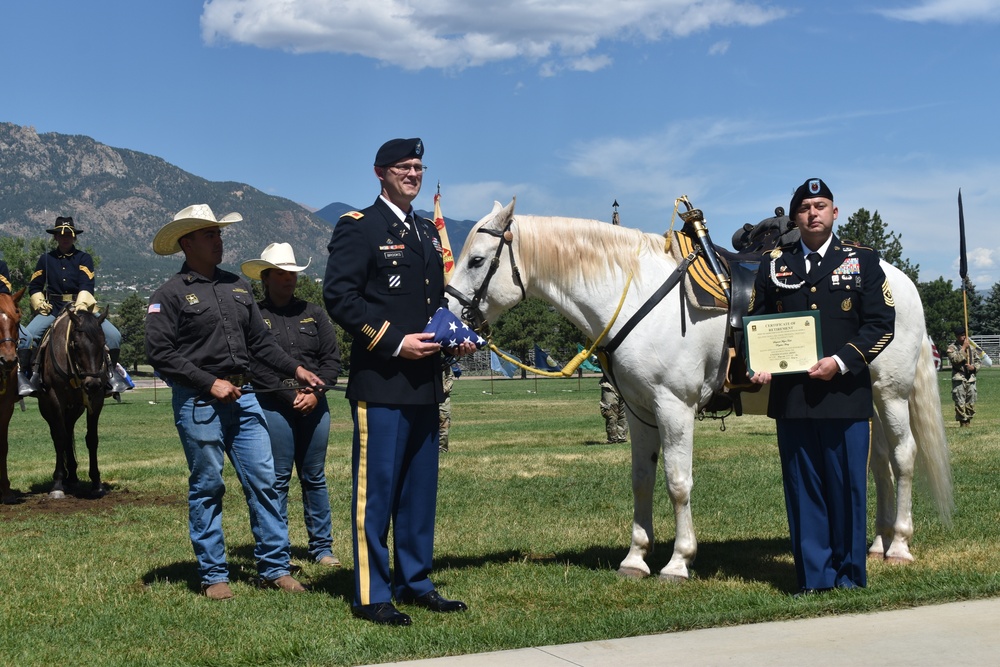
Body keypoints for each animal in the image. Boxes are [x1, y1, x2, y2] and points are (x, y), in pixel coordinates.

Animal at [36, 306, 109, 498]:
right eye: (76, 345)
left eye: (103, 343)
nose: (92, 384)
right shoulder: (55, 399)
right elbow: (59, 438)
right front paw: (58, 484)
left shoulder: (96, 400)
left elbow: (92, 439)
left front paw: (96, 482)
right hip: (47, 408)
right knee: (59, 434)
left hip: (74, 409)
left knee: (68, 432)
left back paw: (73, 476)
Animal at [448, 201, 952, 580]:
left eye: (477, 260)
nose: (449, 315)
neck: (639, 297)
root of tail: (899, 280)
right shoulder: (639, 411)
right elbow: (642, 479)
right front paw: (636, 557)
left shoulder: (674, 406)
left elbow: (677, 482)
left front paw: (678, 560)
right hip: (869, 399)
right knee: (879, 462)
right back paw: (878, 543)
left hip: (891, 393)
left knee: (902, 457)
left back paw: (900, 544)